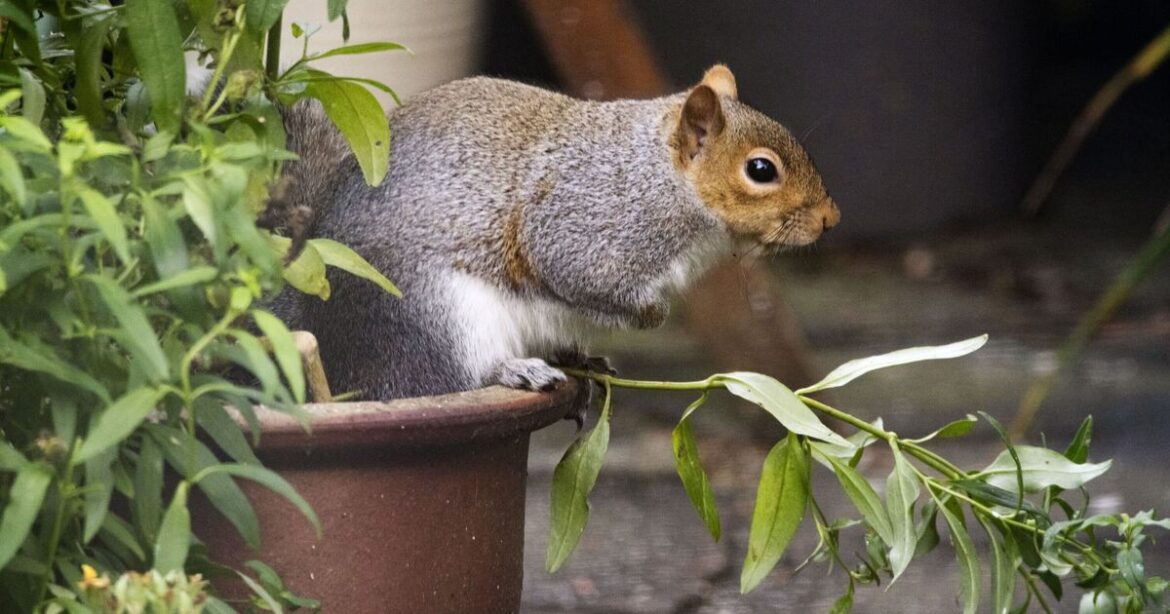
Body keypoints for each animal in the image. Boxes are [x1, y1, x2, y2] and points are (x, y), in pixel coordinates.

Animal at [271, 65, 840, 400]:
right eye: (761, 170)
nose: (829, 218)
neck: (660, 177)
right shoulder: (585, 222)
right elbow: (574, 274)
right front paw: (652, 314)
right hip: (434, 319)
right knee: (449, 379)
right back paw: (515, 371)